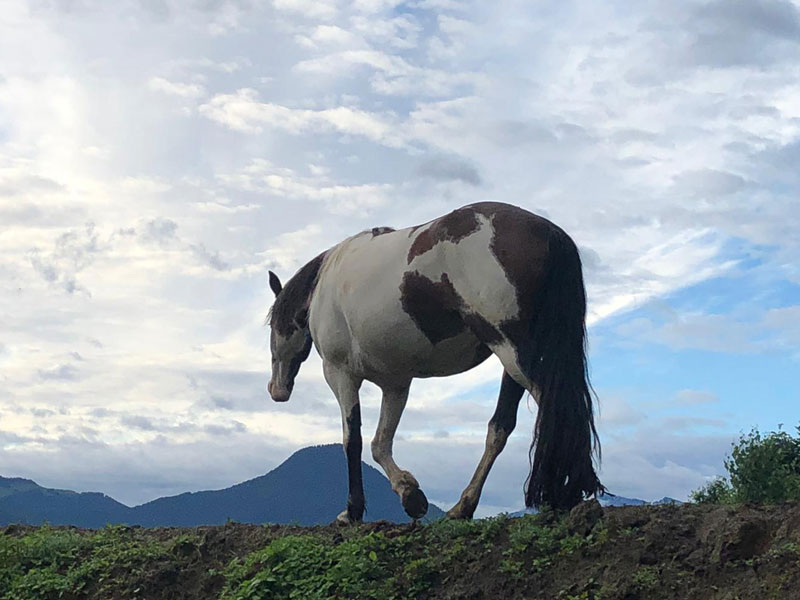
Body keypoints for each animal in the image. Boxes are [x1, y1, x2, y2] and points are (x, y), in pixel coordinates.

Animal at [266, 202, 604, 520]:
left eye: (271, 323)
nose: (276, 389)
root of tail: (548, 232)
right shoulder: (396, 384)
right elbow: (380, 443)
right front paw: (410, 494)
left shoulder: (340, 374)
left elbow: (354, 440)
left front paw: (352, 511)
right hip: (515, 362)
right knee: (502, 427)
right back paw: (466, 506)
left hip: (513, 352)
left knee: (556, 411)